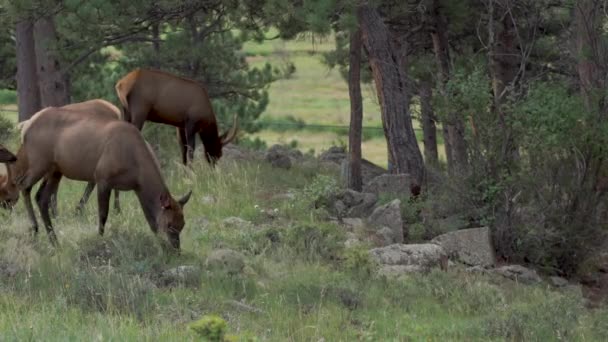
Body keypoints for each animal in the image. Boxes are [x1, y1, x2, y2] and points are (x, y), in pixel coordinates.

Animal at [15, 107, 191, 248]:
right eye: (169, 224)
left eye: (183, 224)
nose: (175, 249)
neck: (137, 171)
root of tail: (25, 128)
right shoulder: (102, 177)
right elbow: (103, 214)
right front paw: (99, 239)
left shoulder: (135, 188)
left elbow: (149, 217)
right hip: (39, 161)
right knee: (23, 185)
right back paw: (34, 229)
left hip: (55, 169)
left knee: (41, 197)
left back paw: (53, 239)